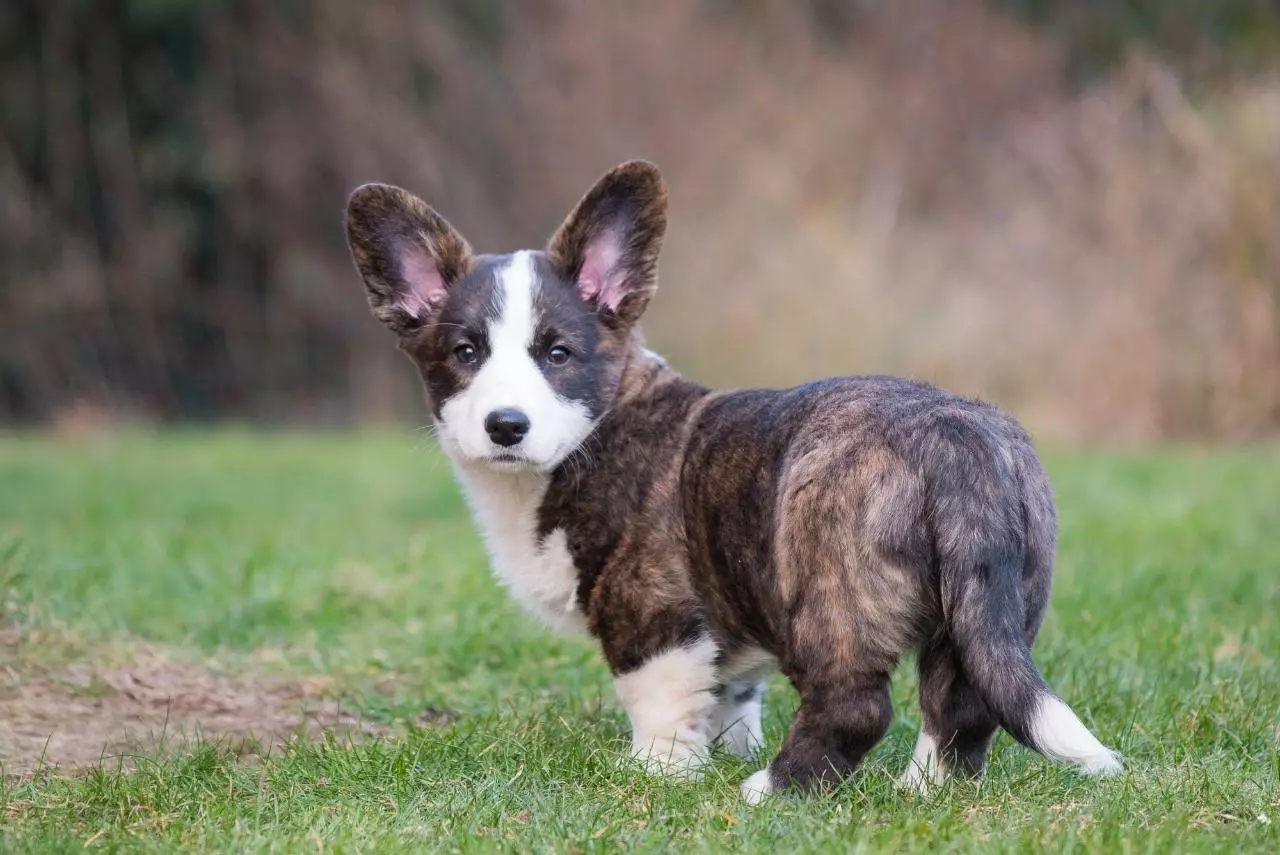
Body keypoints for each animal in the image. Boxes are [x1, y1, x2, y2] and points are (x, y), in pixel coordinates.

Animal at [343, 158, 1121, 803]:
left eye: (557, 354)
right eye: (464, 353)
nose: (506, 425)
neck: (597, 430)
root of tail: (953, 432)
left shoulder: (652, 614)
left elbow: (657, 700)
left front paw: (659, 773)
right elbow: (731, 693)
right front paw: (722, 749)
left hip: (825, 588)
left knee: (856, 703)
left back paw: (772, 790)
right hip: (985, 603)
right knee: (962, 702)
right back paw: (920, 792)